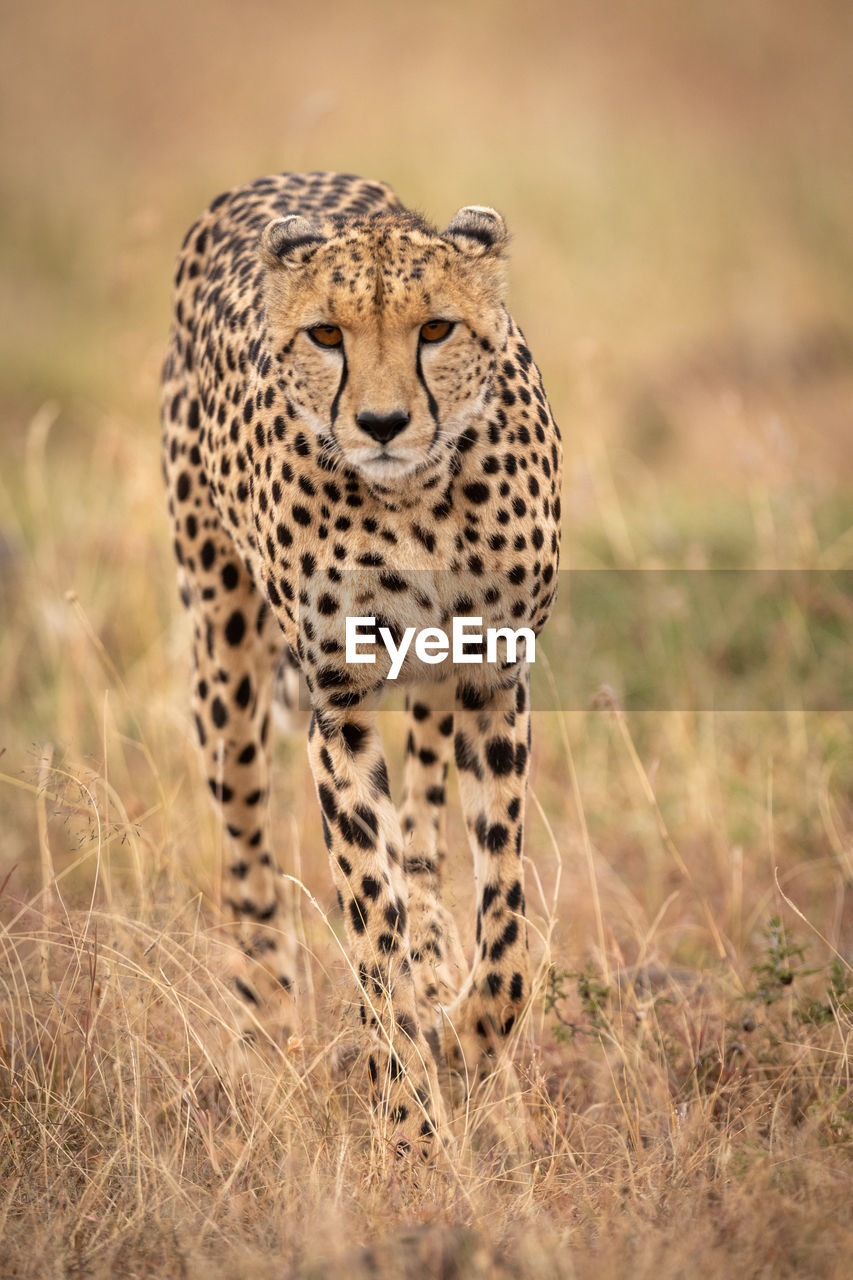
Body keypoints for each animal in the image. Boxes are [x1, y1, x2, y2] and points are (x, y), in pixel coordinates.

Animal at [160, 170, 560, 1152]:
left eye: (436, 329)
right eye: (326, 335)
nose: (382, 422)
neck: (416, 496)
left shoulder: (493, 681)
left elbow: (505, 920)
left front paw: (467, 1037)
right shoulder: (336, 710)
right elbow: (369, 916)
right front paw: (410, 1120)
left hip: (429, 690)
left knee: (420, 836)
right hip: (223, 664)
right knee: (249, 864)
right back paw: (269, 1029)